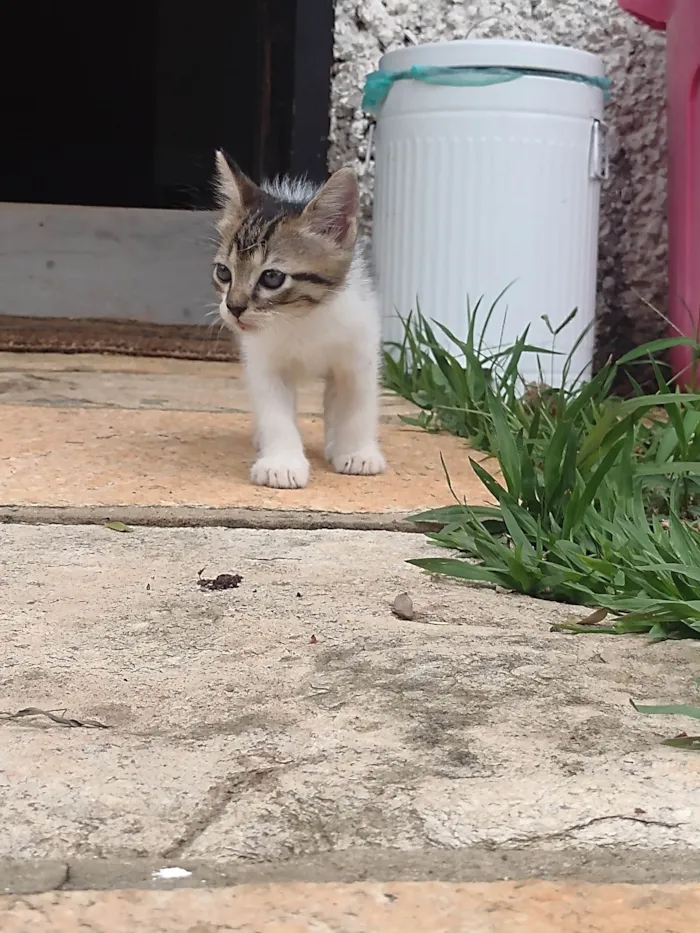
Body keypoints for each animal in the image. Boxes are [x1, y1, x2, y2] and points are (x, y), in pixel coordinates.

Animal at [213, 151, 388, 488]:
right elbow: (276, 414)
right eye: (223, 273)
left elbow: (357, 405)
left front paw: (357, 451)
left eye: (271, 277)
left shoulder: (359, 353)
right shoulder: (264, 362)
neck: (303, 319)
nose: (234, 307)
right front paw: (281, 462)